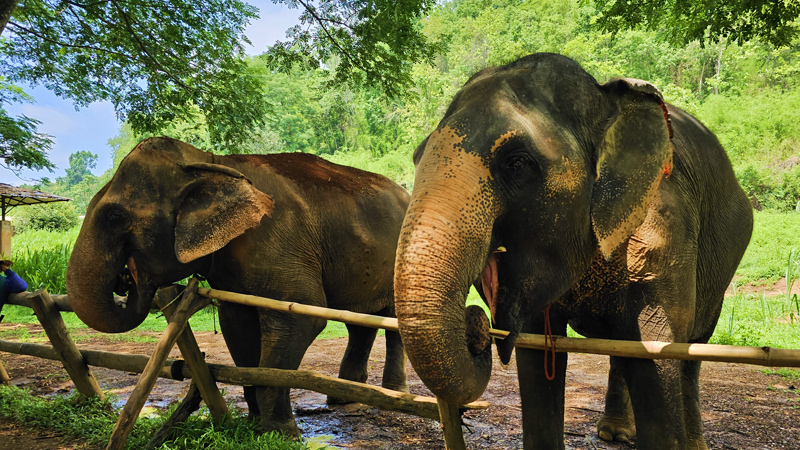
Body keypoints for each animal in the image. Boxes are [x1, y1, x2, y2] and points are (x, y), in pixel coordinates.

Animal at [66, 136, 410, 437]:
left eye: (114, 216)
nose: (124, 280)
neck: (211, 161)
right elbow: (237, 325)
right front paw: (255, 425)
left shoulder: (278, 240)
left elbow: (301, 318)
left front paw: (280, 434)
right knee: (360, 323)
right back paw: (346, 399)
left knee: (394, 321)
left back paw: (394, 396)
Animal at [394, 53, 753, 449]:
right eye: (417, 157)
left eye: (517, 163)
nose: (476, 325)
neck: (604, 101)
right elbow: (538, 355)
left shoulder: (666, 227)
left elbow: (656, 354)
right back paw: (614, 432)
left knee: (692, 351)